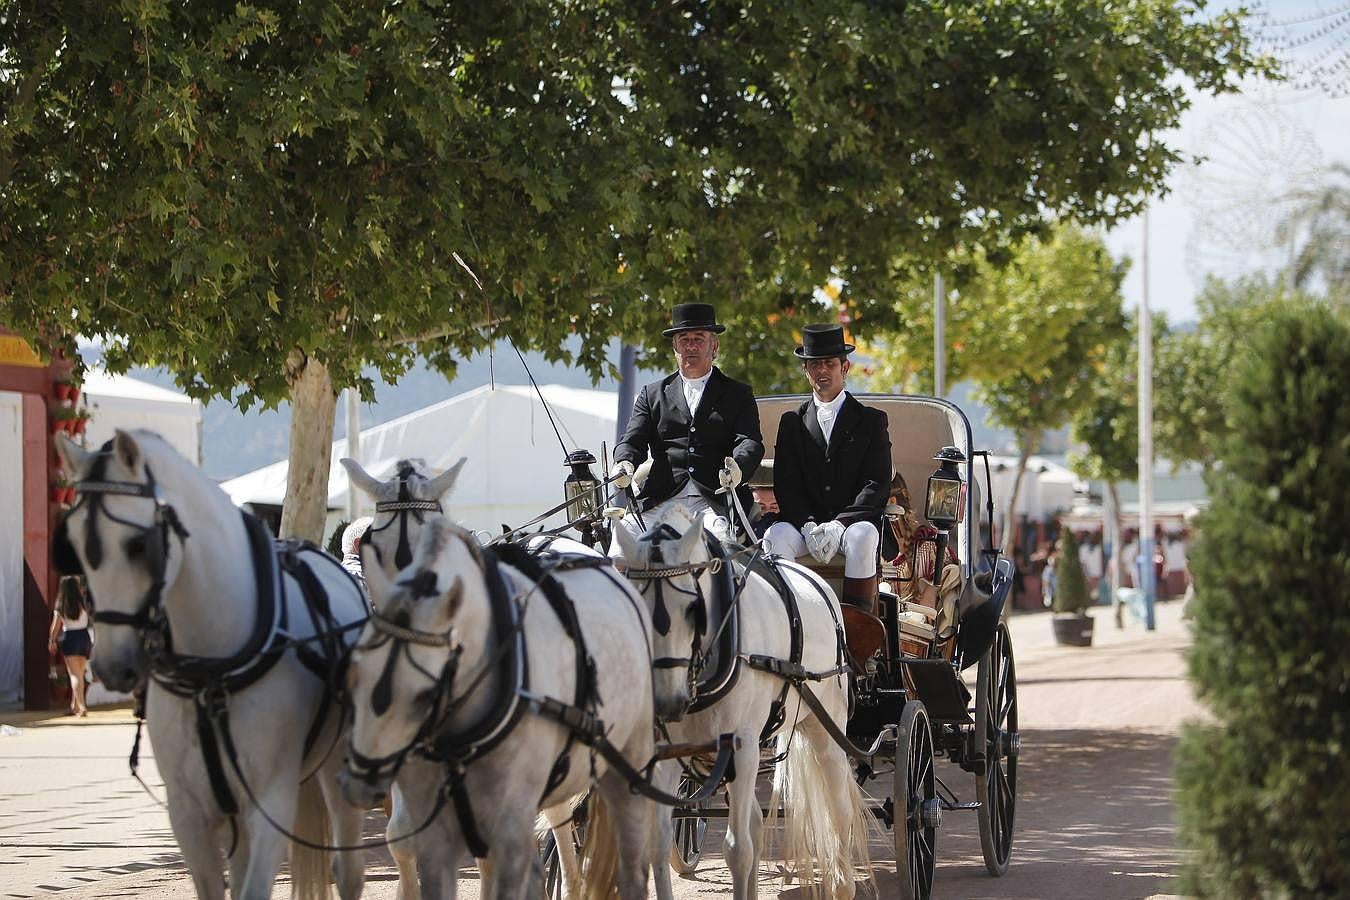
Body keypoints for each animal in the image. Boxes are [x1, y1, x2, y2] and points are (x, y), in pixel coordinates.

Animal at [54, 431, 369, 900]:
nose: (112, 667)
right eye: (73, 546)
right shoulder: (187, 812)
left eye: (138, 545)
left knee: (348, 870)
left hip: (337, 771)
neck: (210, 672)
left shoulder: (268, 804)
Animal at [612, 504, 874, 895]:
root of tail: (821, 583)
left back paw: (843, 885)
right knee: (755, 821)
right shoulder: (671, 754)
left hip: (824, 731)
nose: (668, 703)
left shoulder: (743, 746)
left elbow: (737, 850)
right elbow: (658, 845)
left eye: (693, 609)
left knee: (839, 808)